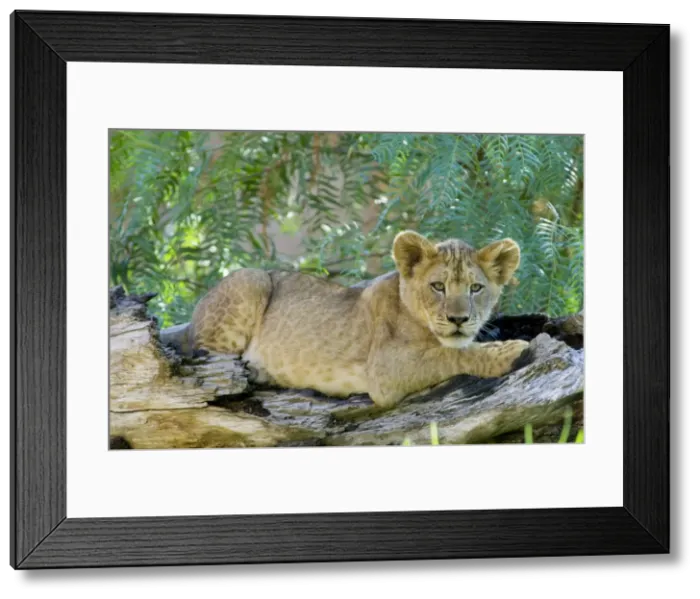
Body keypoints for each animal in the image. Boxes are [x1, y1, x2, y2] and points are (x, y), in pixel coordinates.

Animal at [183, 231, 529, 409]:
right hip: (251, 279)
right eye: (438, 286)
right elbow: (449, 354)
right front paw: (508, 352)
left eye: (475, 288)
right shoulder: (386, 372)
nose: (459, 319)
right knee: (204, 356)